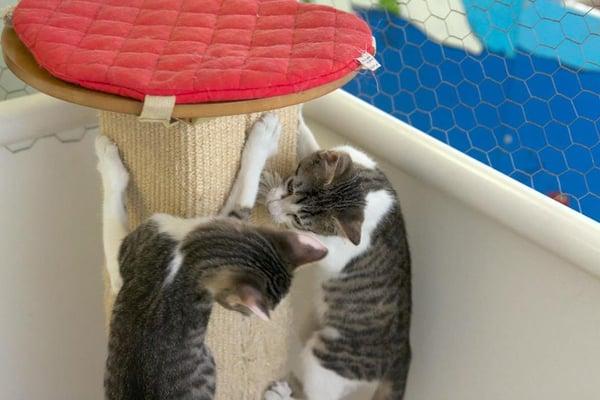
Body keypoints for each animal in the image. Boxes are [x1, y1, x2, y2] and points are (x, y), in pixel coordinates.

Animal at [264, 116, 410, 400]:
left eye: (299, 220)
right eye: (290, 186)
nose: (271, 207)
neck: (364, 194)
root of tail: (404, 352)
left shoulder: (338, 254)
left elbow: (316, 245)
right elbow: (311, 142)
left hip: (322, 362)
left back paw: (278, 393)